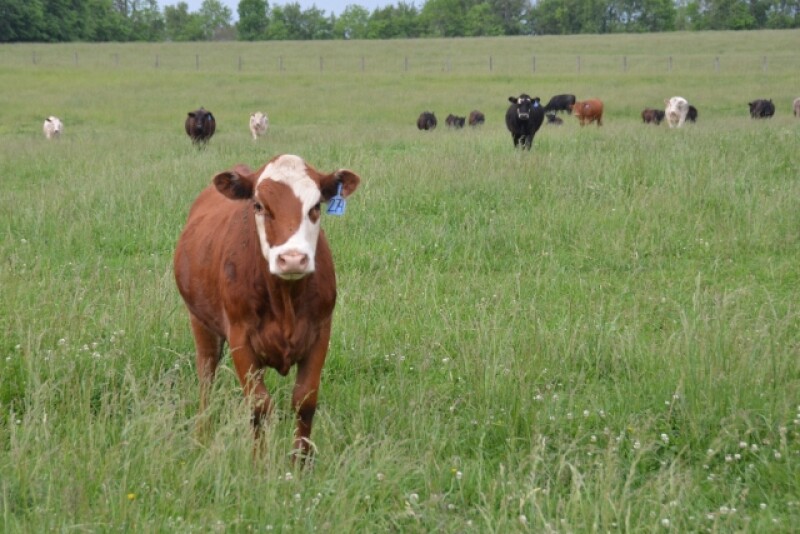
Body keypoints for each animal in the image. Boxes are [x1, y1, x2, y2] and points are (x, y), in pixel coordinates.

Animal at [174, 154, 361, 463]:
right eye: (259, 205)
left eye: (315, 206)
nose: (293, 259)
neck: (285, 300)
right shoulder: (240, 338)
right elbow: (259, 405)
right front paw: (259, 463)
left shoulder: (320, 333)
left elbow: (305, 401)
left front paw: (300, 463)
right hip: (200, 322)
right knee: (206, 378)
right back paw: (202, 437)